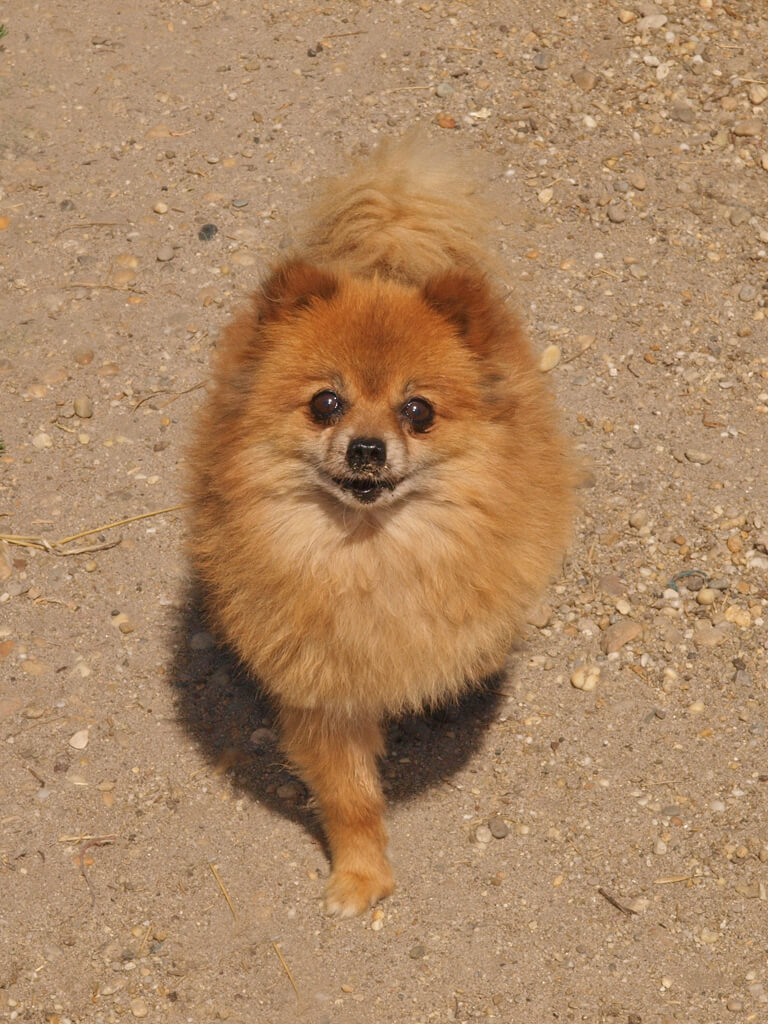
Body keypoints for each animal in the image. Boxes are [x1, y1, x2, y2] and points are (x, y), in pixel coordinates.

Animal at [187, 134, 574, 916]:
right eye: (325, 404)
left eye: (417, 410)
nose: (366, 447)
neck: (373, 555)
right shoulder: (322, 695)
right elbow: (350, 798)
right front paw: (362, 874)